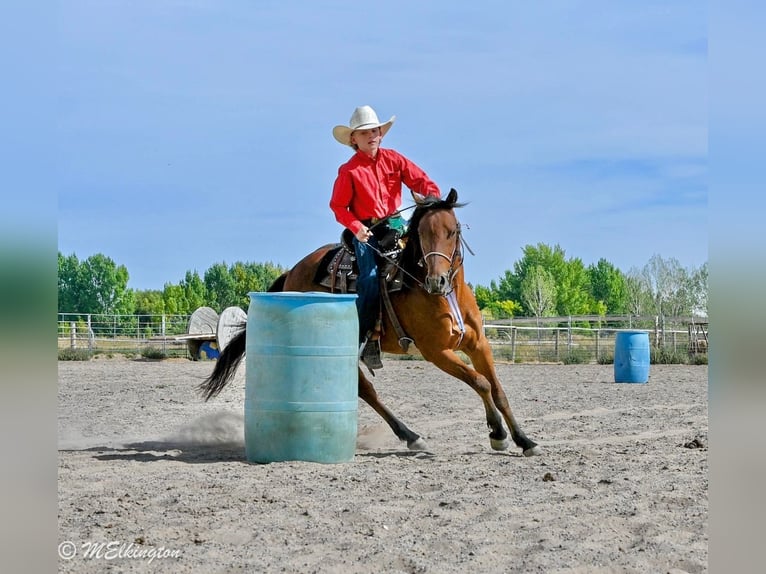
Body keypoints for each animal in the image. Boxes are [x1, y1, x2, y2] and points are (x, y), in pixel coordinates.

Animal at [199, 188, 540, 457]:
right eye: (422, 234)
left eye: (452, 231)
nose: (436, 281)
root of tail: (294, 272)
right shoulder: (436, 352)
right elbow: (480, 382)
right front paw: (498, 434)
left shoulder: (478, 344)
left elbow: (497, 389)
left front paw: (524, 440)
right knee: (367, 391)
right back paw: (411, 436)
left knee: (365, 390)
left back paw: (410, 435)